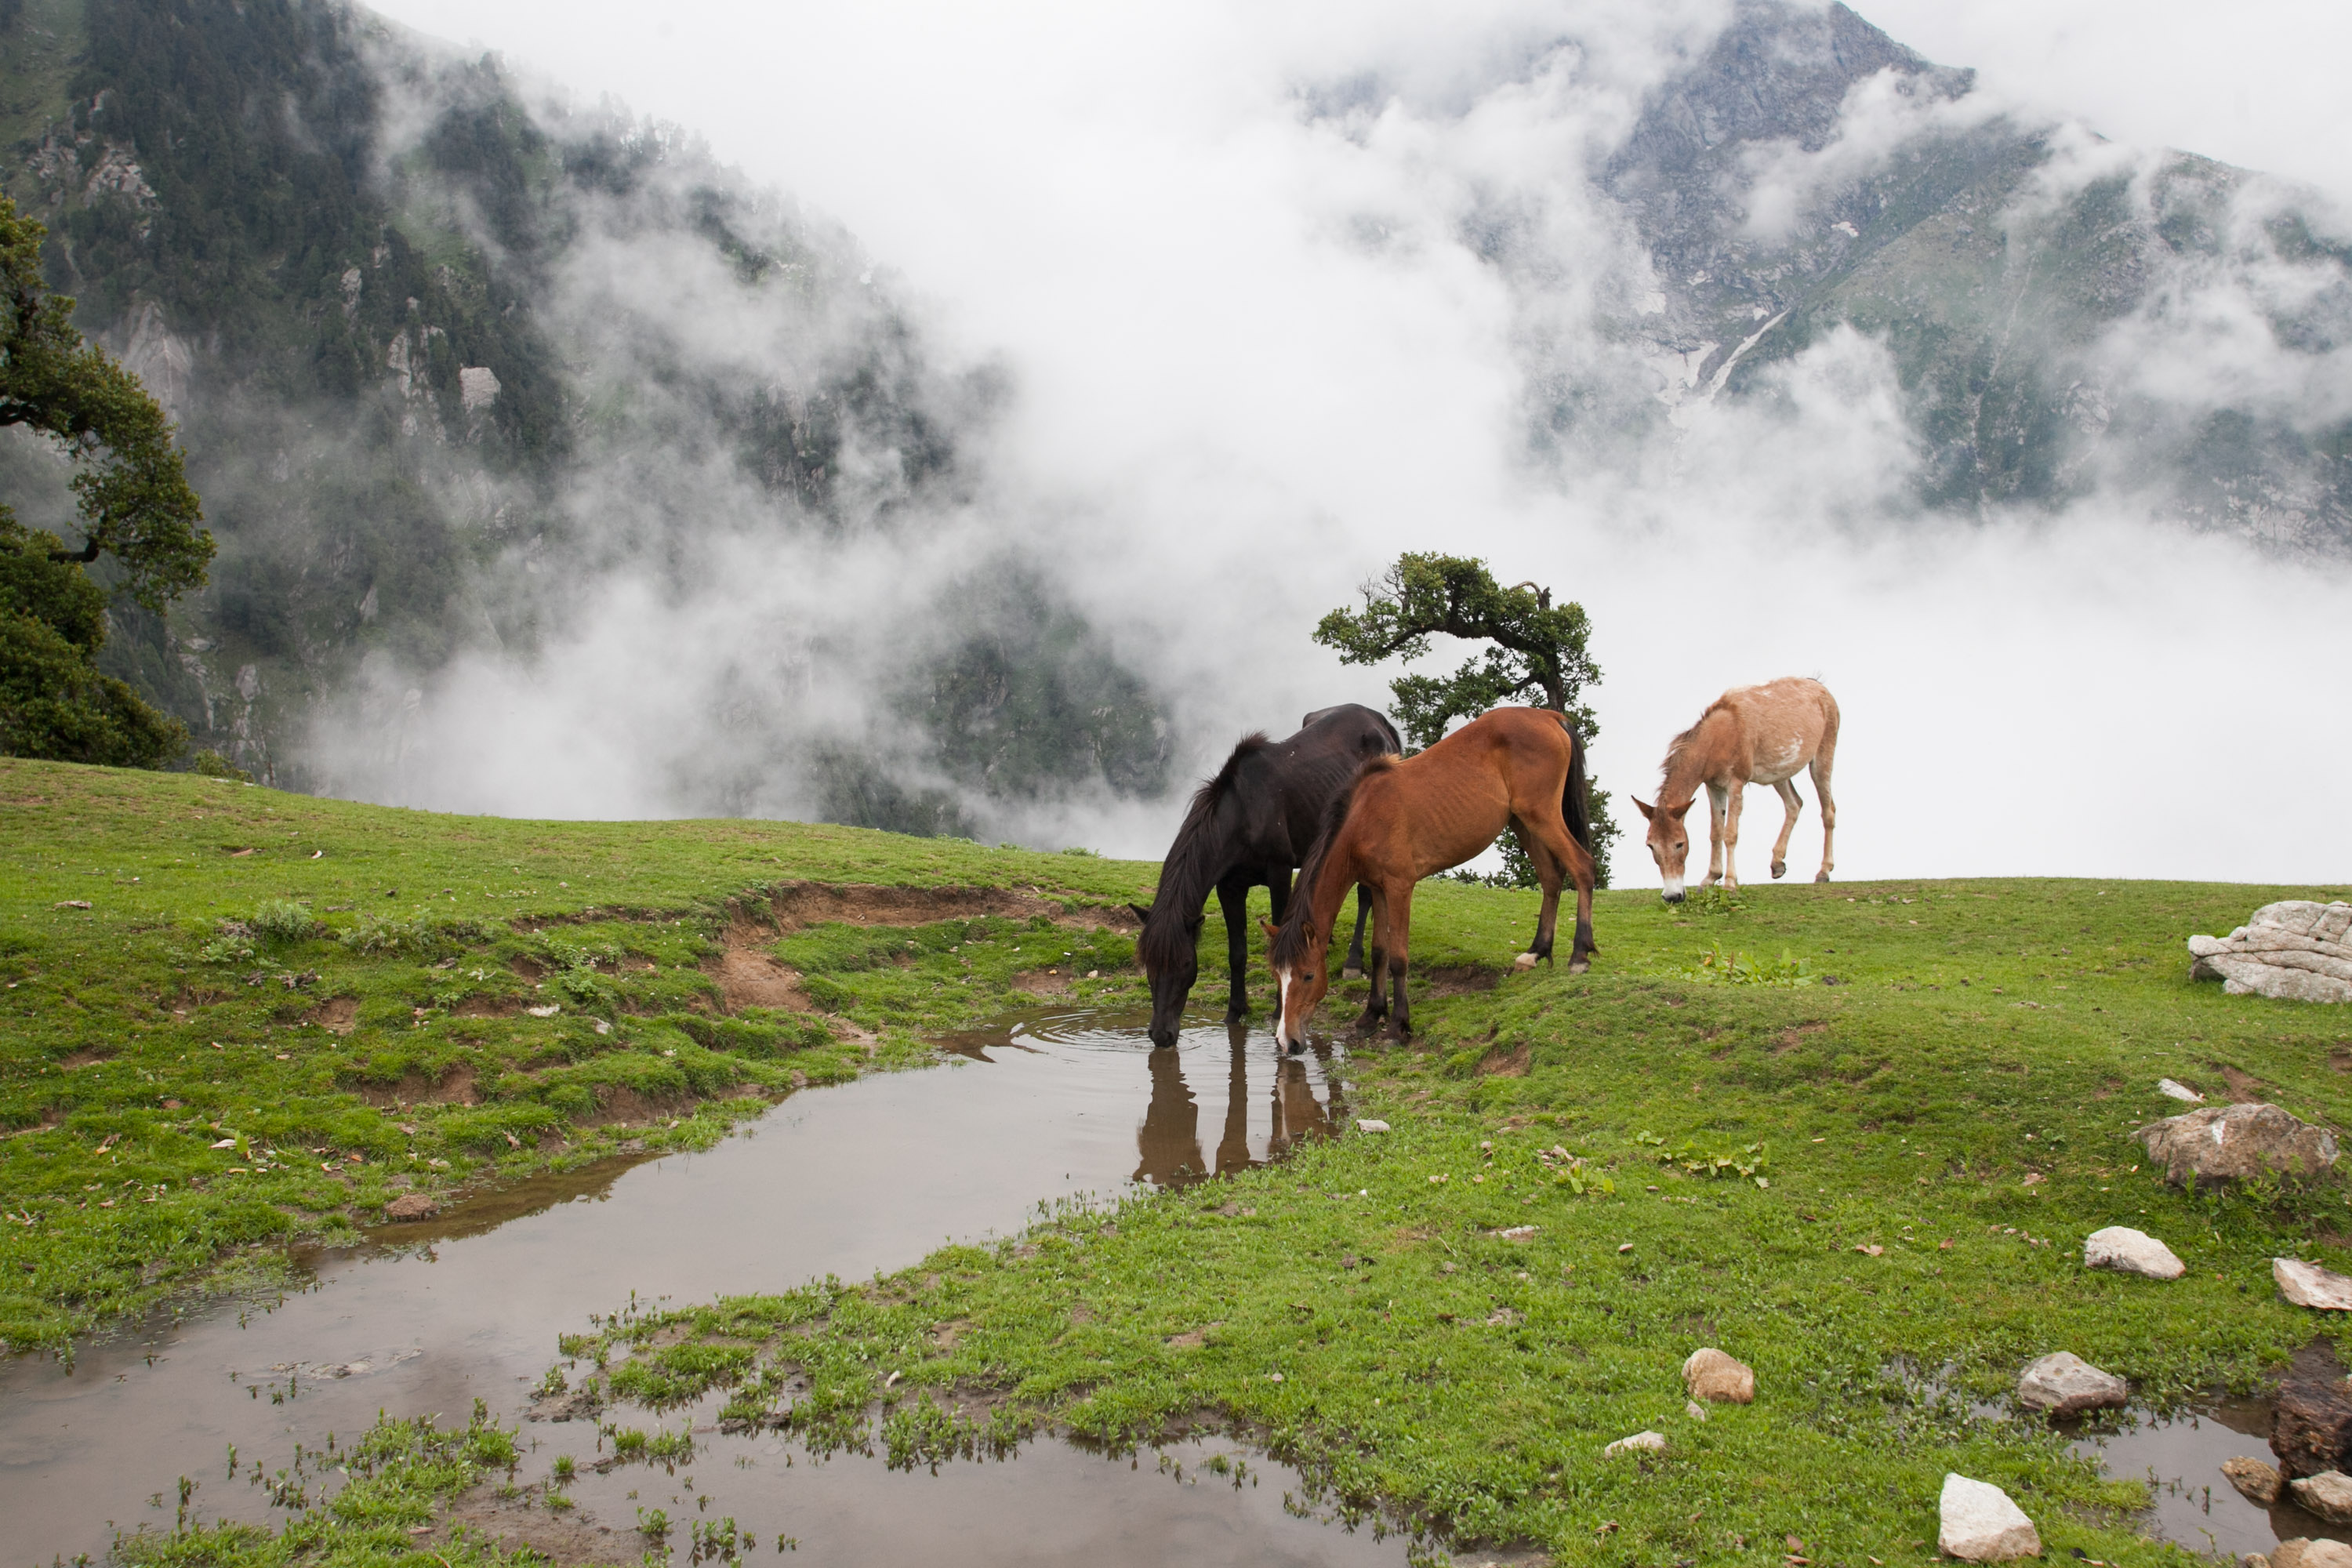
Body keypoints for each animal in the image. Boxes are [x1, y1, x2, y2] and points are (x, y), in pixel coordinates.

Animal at [1132, 704, 1400, 1049]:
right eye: (1148, 965)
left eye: (1185, 964)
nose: (1161, 1035)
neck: (1242, 813)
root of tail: (1379, 722)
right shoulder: (1229, 887)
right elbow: (1237, 952)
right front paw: (1235, 1010)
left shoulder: (1280, 872)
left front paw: (1276, 1009)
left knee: (1366, 896)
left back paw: (1353, 961)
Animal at [1264, 706, 1598, 1049]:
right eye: (1277, 975)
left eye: (1308, 975)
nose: (1287, 1041)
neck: (1365, 819)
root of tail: (1548, 716)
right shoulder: (1378, 888)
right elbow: (1379, 952)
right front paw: (1372, 1014)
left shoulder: (1400, 888)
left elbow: (1398, 959)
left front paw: (1398, 1026)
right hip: (1522, 821)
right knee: (1551, 878)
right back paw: (1535, 953)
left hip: (1542, 816)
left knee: (1583, 867)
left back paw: (1580, 955)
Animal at [1633, 676, 1839, 902]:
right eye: (1650, 845)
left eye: (1680, 843)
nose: (1672, 896)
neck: (1718, 737)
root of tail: (1820, 686)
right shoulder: (1713, 786)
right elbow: (1715, 832)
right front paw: (1710, 878)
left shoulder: (1736, 783)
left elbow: (1730, 834)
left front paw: (1730, 884)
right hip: (1779, 773)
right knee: (1794, 804)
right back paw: (1777, 864)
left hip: (1822, 759)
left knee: (1828, 811)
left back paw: (1824, 872)